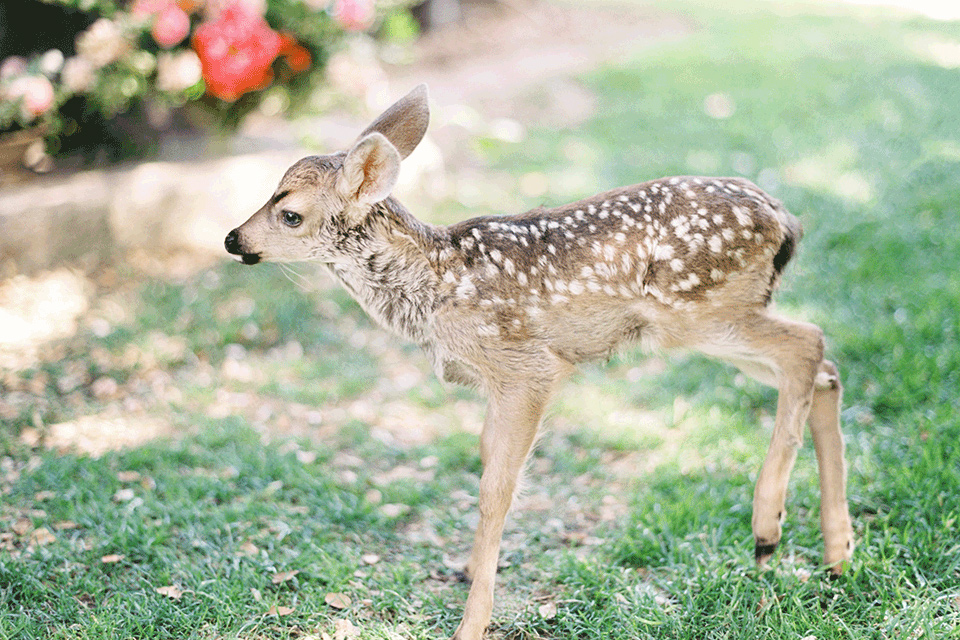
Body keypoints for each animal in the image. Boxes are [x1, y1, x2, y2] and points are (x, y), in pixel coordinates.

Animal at [225, 86, 856, 640]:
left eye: (290, 215)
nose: (233, 239)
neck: (435, 289)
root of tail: (785, 220)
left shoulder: (527, 366)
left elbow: (495, 488)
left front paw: (472, 623)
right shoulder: (491, 382)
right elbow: (484, 456)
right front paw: (470, 573)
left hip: (703, 310)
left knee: (808, 343)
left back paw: (768, 529)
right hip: (711, 323)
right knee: (823, 370)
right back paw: (837, 553)